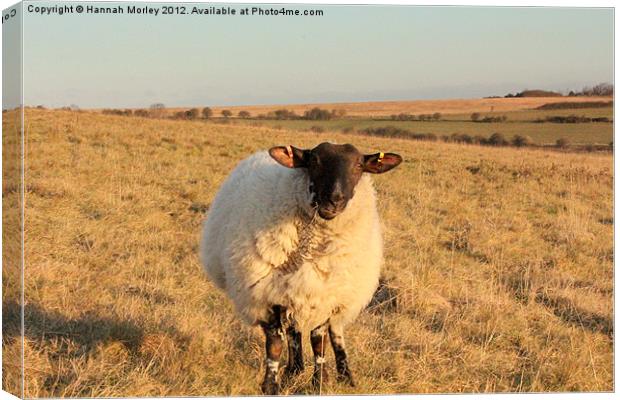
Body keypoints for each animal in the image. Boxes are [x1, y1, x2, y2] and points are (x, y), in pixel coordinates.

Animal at [200, 141, 402, 394]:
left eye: (359, 165)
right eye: (314, 161)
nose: (334, 200)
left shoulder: (326, 294)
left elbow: (319, 339)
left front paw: (320, 381)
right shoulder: (268, 294)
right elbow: (276, 342)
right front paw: (271, 385)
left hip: (340, 292)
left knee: (336, 331)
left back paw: (345, 375)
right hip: (290, 289)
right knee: (292, 331)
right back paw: (294, 369)